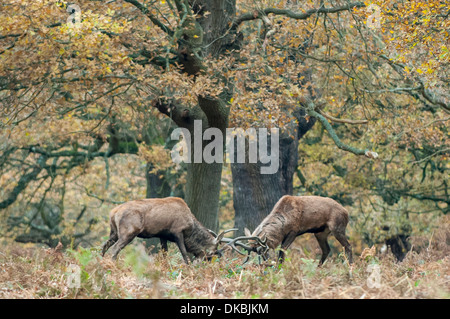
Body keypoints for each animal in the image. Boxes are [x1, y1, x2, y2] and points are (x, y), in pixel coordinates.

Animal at [100, 198, 237, 264]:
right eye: (212, 251)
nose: (207, 261)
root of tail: (113, 212)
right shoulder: (177, 231)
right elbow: (184, 252)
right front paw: (188, 267)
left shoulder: (162, 235)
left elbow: (164, 253)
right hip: (128, 232)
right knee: (115, 248)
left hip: (114, 232)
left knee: (104, 245)